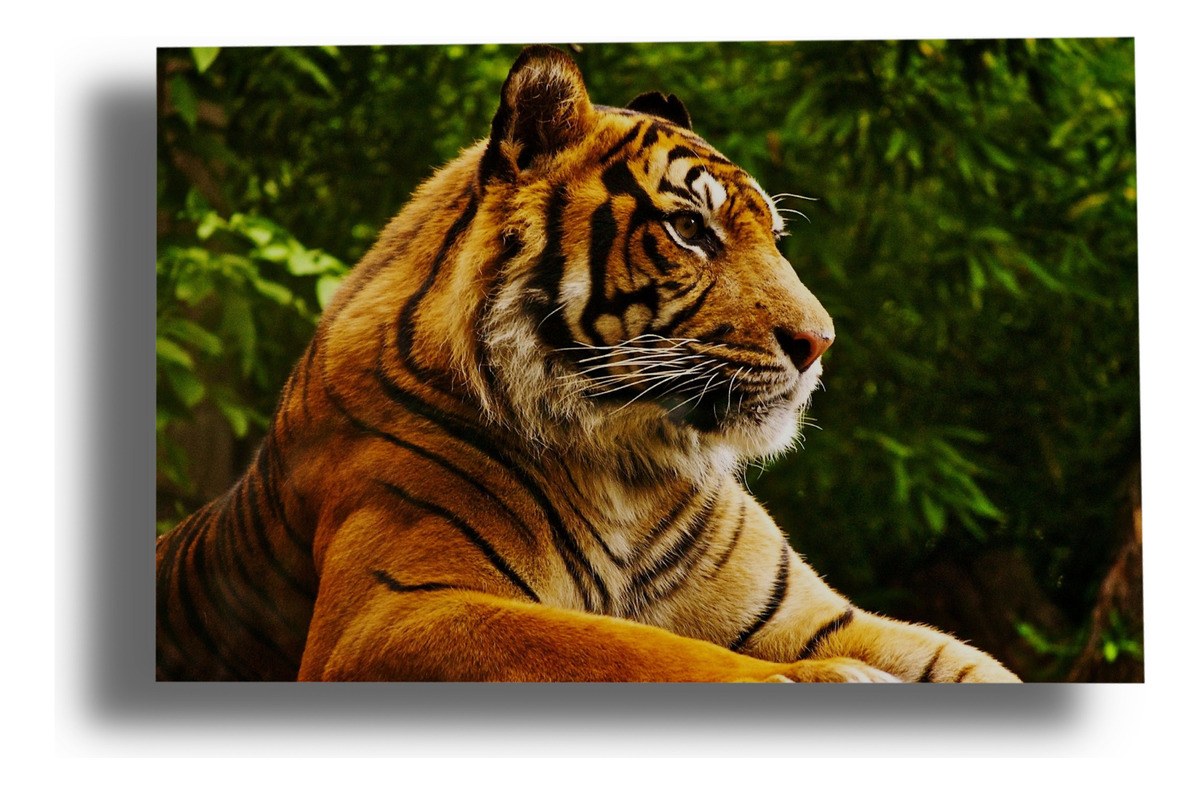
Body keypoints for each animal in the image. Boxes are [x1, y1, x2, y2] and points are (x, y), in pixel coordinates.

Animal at [156, 44, 1020, 683]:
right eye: (689, 229)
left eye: (773, 237)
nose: (819, 343)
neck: (630, 465)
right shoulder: (394, 611)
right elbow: (640, 650)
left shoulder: (818, 616)